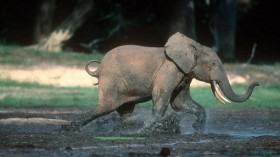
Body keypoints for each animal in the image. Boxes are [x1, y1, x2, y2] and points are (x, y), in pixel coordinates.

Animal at [61, 31, 258, 132]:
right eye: (214, 64)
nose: (256, 83)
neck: (193, 46)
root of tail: (99, 67)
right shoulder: (170, 69)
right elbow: (161, 97)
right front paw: (151, 129)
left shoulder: (185, 73)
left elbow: (179, 102)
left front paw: (197, 129)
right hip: (110, 80)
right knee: (106, 107)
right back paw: (70, 128)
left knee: (125, 110)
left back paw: (127, 126)